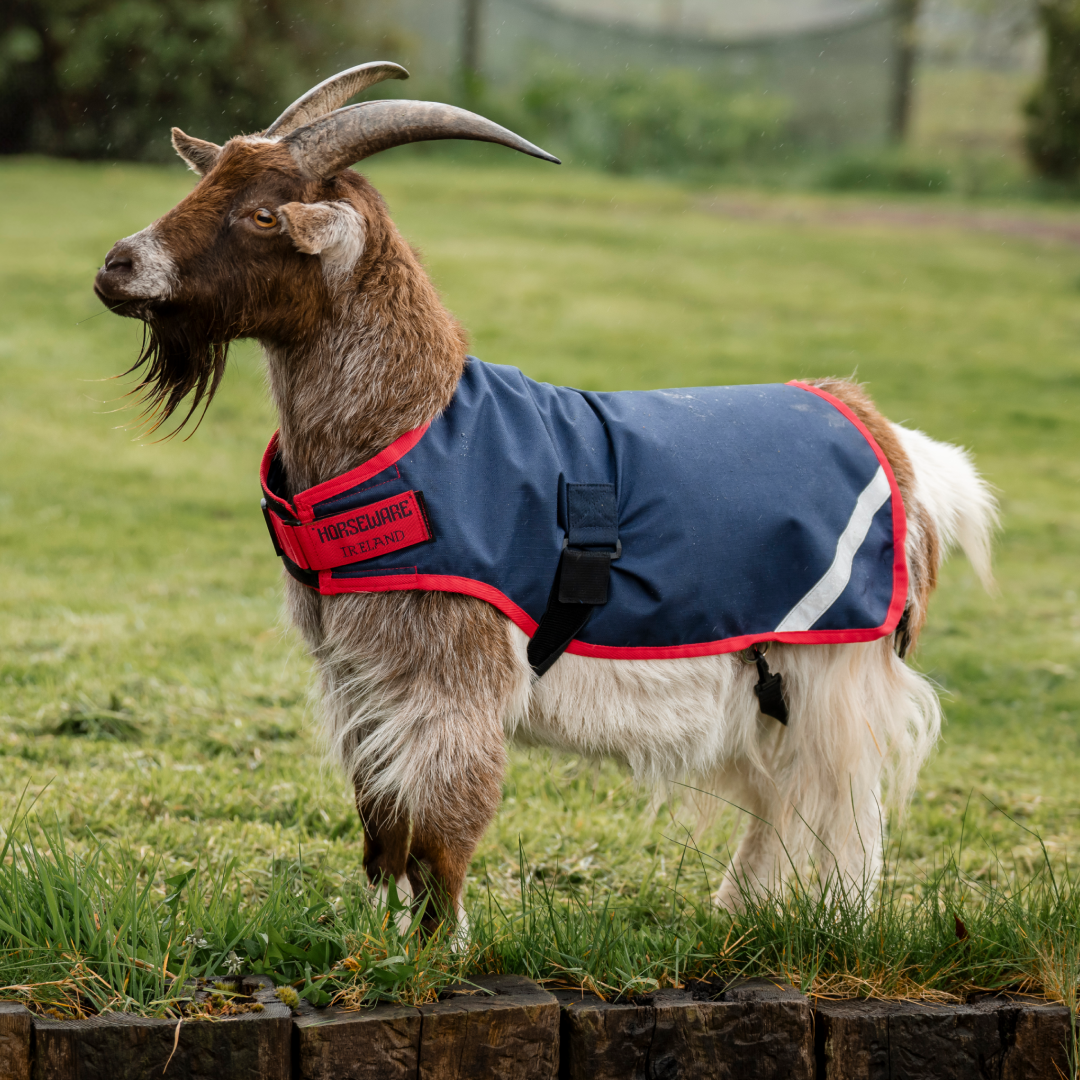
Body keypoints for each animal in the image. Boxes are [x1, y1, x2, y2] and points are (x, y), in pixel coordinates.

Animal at [94, 63, 997, 926]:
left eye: (262, 216)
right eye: (207, 184)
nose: (117, 266)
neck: (408, 423)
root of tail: (893, 442)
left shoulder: (451, 670)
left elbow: (441, 826)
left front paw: (436, 951)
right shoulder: (361, 676)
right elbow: (382, 827)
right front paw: (371, 942)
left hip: (838, 667)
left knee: (844, 802)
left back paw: (835, 922)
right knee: (784, 796)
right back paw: (737, 909)